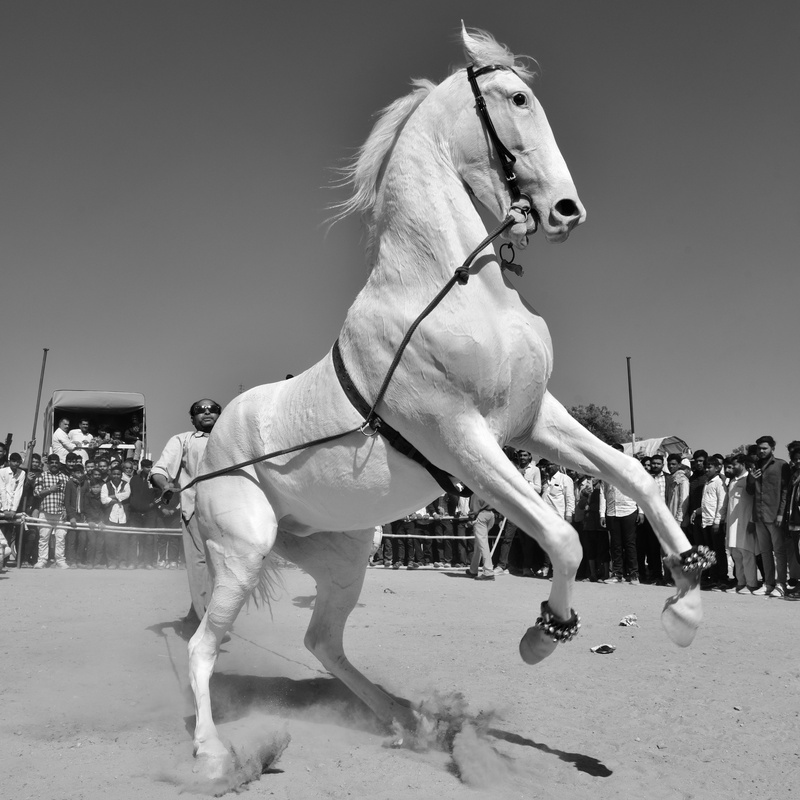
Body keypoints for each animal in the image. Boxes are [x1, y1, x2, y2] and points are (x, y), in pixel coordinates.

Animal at [187, 26, 706, 779]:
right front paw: (545, 635)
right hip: (246, 547)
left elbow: (632, 474)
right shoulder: (461, 437)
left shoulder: (533, 419)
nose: (568, 212)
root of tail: (210, 443)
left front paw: (686, 599)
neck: (453, 281)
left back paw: (407, 721)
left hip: (345, 556)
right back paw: (212, 753)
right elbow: (564, 538)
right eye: (517, 98)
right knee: (203, 646)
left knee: (323, 643)